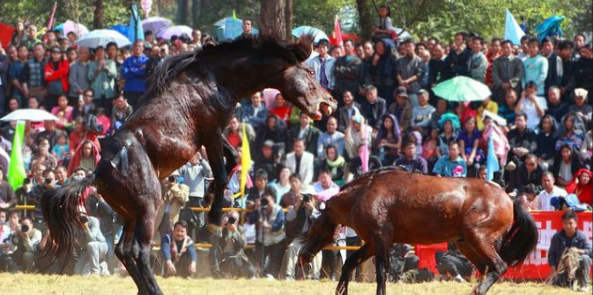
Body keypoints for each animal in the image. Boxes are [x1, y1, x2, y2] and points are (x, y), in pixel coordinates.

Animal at [40, 34, 338, 295]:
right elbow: (222, 169)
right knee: (137, 251)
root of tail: (99, 172)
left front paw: (211, 196)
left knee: (124, 250)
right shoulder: (211, 131)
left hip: (131, 213)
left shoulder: (215, 133)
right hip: (148, 207)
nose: (331, 101)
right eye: (310, 72)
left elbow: (232, 160)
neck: (213, 78)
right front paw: (215, 218)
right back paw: (155, 290)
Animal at [300, 169, 536, 295]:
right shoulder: (374, 243)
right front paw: (341, 289)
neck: (362, 195)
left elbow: (382, 273)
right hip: (465, 243)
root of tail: (509, 199)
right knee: (486, 268)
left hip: (476, 236)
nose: (303, 256)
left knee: (499, 266)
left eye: (313, 227)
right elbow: (351, 263)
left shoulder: (381, 240)